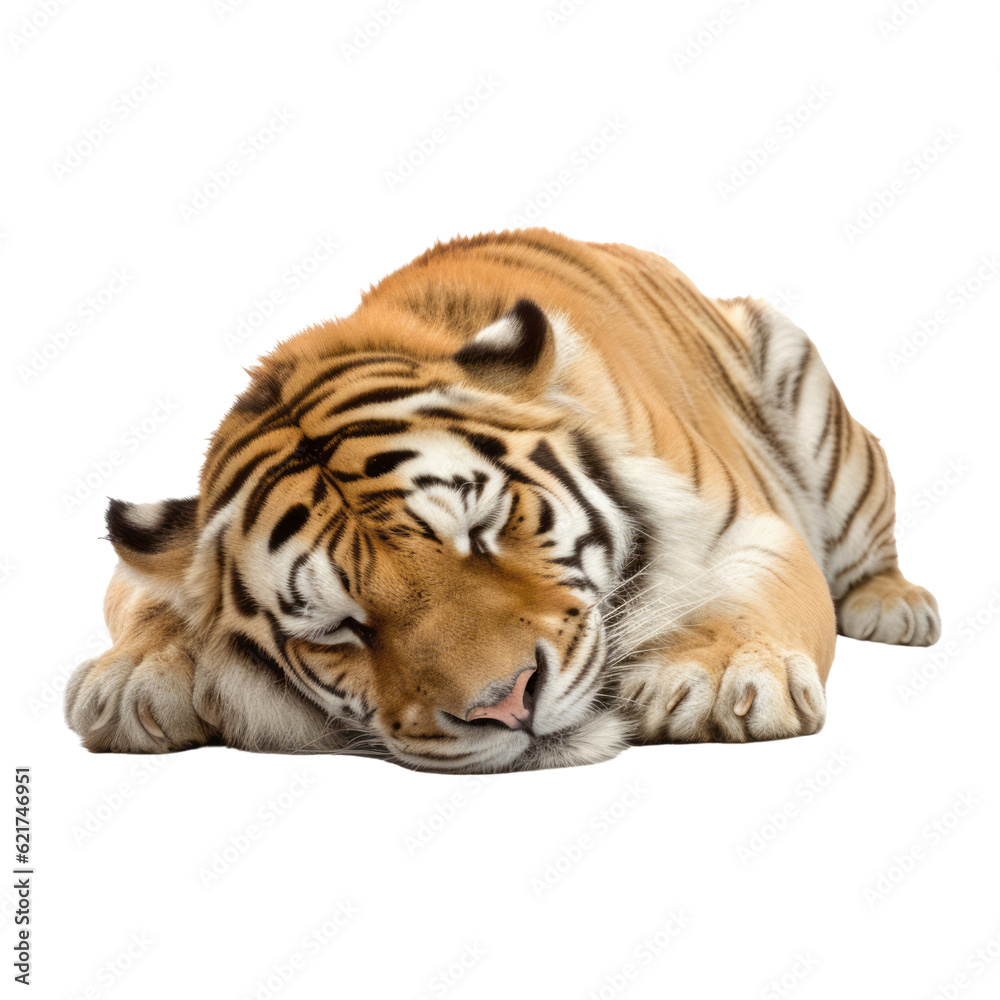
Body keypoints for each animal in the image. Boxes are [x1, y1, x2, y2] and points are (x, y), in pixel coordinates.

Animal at [64, 228, 940, 773]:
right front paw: (130, 682)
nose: (507, 705)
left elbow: (751, 596)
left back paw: (895, 608)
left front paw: (718, 681)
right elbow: (149, 603)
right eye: (338, 627)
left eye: (483, 529)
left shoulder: (756, 525)